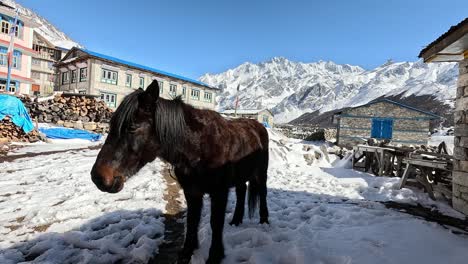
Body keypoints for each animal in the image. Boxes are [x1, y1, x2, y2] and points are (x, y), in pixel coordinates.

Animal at [90, 81, 270, 264]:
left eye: (132, 127)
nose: (98, 178)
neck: (198, 148)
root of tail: (259, 126)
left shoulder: (219, 193)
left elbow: (215, 223)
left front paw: (215, 255)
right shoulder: (192, 192)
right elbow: (192, 220)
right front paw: (187, 251)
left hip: (261, 173)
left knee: (262, 193)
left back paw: (264, 221)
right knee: (241, 191)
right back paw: (236, 220)